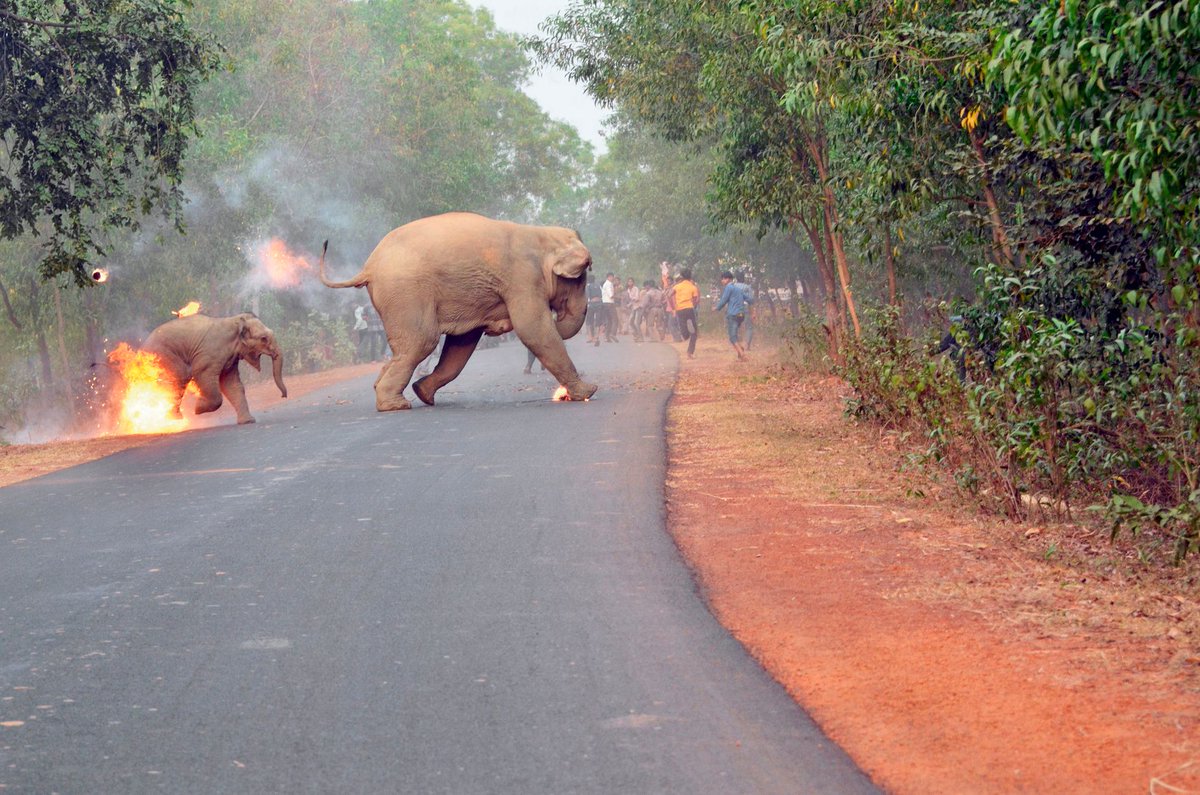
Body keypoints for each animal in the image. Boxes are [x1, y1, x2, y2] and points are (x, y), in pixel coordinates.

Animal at [140, 312, 287, 425]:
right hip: (164, 356)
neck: (235, 321)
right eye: (263, 338)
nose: (283, 396)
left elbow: (232, 384)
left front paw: (248, 421)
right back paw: (174, 419)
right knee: (179, 379)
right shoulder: (209, 355)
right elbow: (202, 375)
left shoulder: (230, 360)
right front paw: (198, 408)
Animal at [319, 212, 597, 411]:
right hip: (406, 293)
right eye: (581, 279)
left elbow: (462, 343)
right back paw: (395, 405)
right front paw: (588, 391)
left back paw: (399, 394)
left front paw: (423, 392)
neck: (541, 233)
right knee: (422, 341)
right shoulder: (522, 279)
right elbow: (533, 329)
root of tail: (368, 267)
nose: (559, 317)